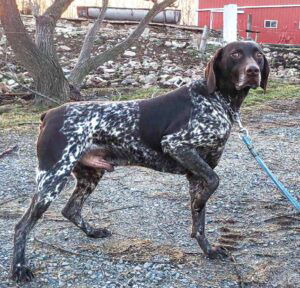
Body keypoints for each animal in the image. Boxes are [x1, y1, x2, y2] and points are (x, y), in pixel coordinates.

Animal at [11, 40, 270, 282]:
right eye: (235, 54)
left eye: (258, 55)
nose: (253, 71)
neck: (217, 99)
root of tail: (50, 114)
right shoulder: (176, 145)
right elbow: (214, 182)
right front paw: (199, 206)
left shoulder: (197, 174)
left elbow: (200, 221)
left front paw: (208, 250)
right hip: (53, 178)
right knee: (22, 226)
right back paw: (19, 269)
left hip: (89, 175)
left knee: (70, 209)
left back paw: (92, 232)